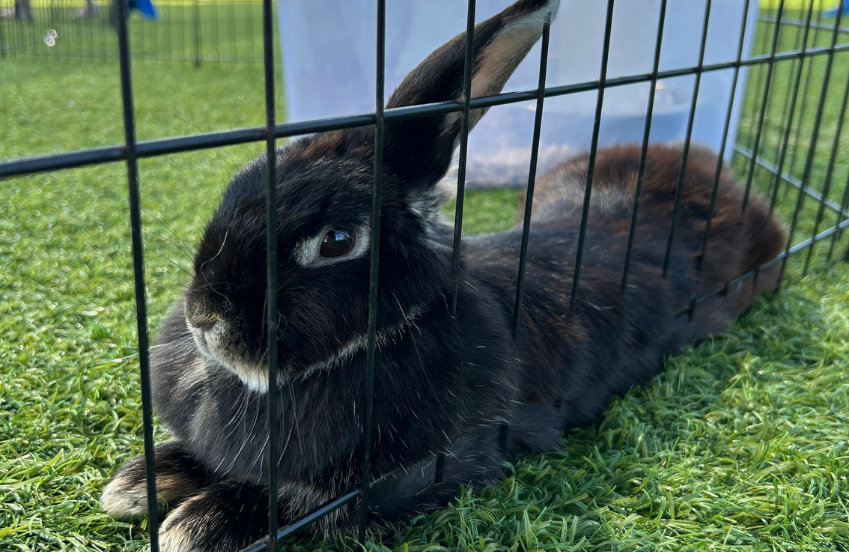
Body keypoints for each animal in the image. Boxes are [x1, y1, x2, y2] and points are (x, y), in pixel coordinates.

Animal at [100, 0, 786, 550]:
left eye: (337, 241)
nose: (204, 318)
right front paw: (139, 481)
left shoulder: (415, 473)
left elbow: (305, 503)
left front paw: (195, 523)